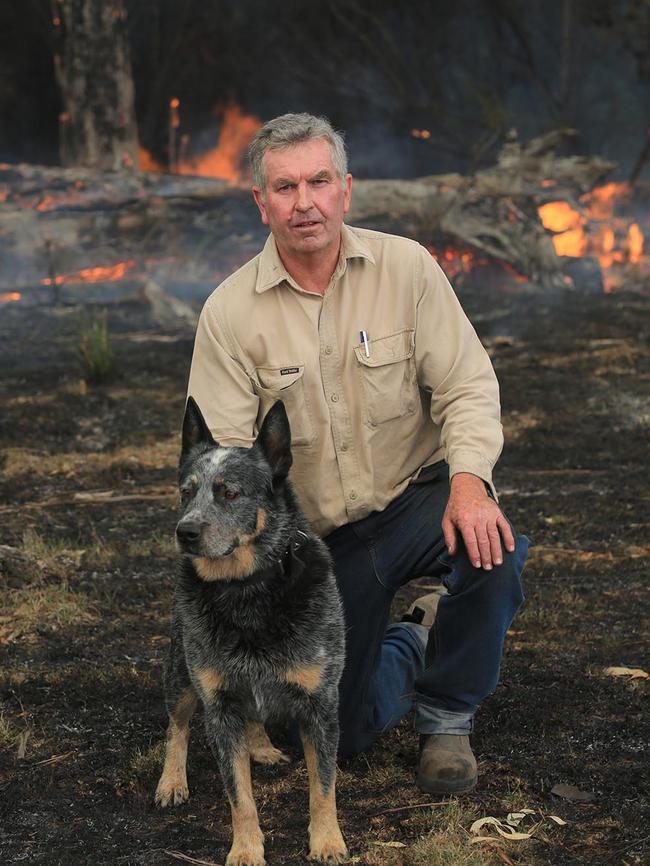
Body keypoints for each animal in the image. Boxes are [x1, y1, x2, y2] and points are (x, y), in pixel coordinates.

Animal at [155, 394, 346, 860]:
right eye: (186, 492)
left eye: (229, 492)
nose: (185, 531)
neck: (247, 591)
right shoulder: (219, 705)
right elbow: (239, 795)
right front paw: (245, 850)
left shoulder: (321, 704)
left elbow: (323, 786)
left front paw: (327, 840)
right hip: (181, 672)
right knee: (177, 725)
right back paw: (171, 781)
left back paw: (260, 745)